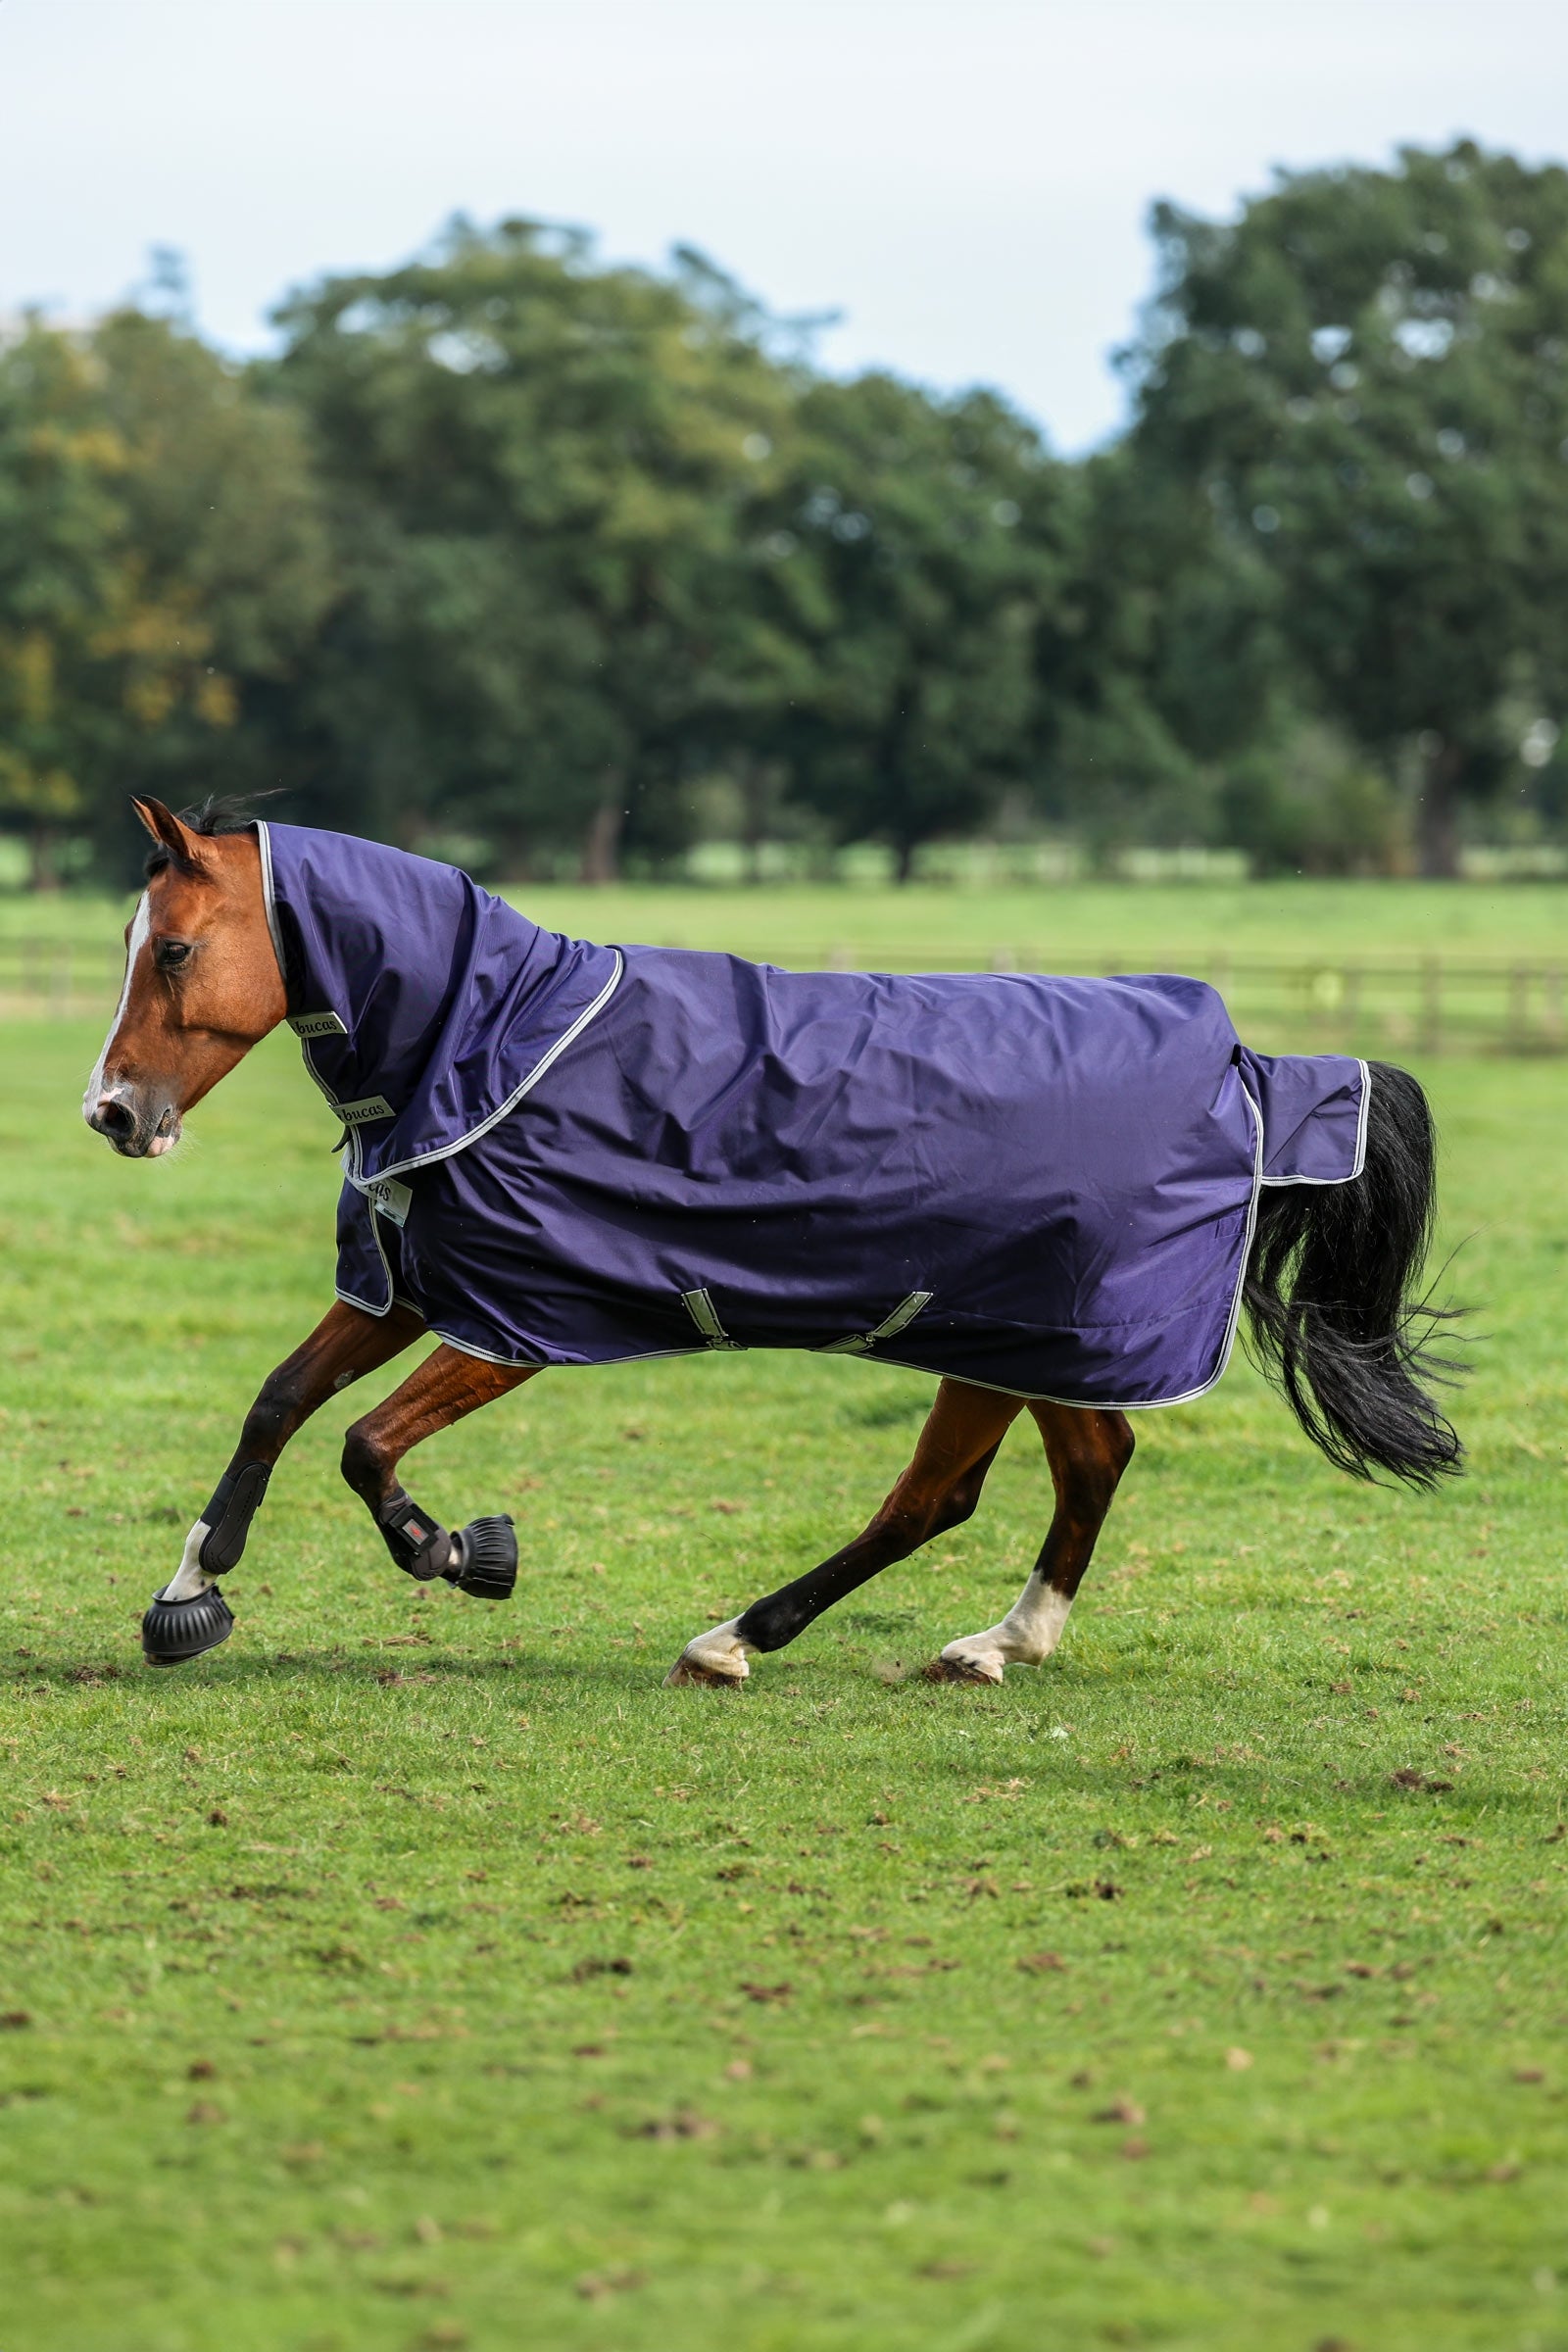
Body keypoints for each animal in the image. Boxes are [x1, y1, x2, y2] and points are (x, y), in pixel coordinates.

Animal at [85, 797, 1462, 1681]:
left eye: (175, 948)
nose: (111, 1114)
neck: (492, 1043)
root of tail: (1242, 1063)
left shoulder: (517, 1323)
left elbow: (364, 1444)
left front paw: (459, 1551)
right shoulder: (412, 1288)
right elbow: (277, 1404)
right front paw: (189, 1594)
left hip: (998, 1334)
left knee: (936, 1498)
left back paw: (739, 1639)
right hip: (1035, 1343)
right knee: (1084, 1465)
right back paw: (998, 1644)